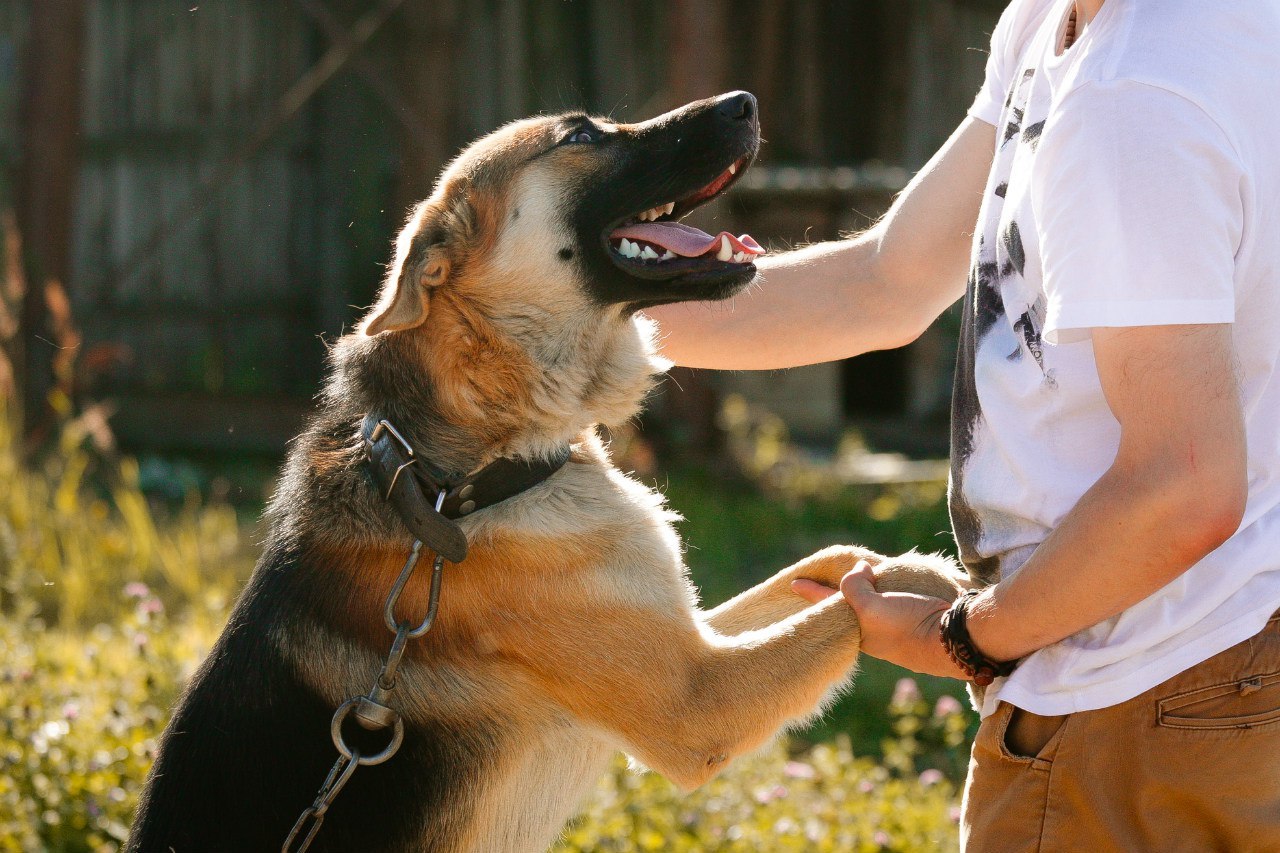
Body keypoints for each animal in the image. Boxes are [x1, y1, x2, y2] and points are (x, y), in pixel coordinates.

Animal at [132, 92, 967, 850]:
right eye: (581, 137)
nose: (746, 102)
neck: (457, 482)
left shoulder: (683, 635)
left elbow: (823, 571)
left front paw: (899, 567)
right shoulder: (698, 696)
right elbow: (842, 613)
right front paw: (935, 590)